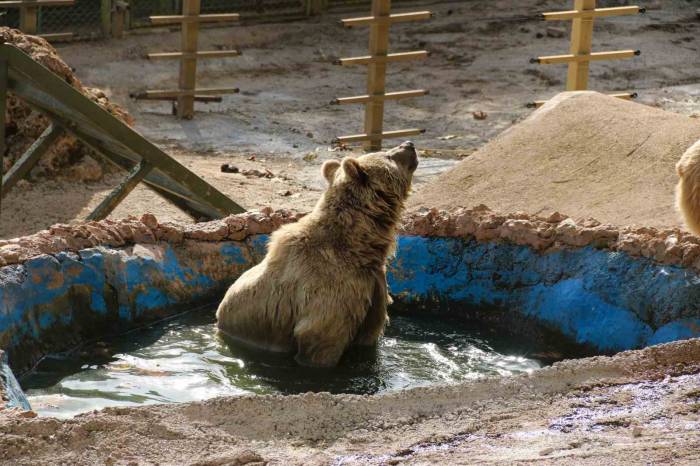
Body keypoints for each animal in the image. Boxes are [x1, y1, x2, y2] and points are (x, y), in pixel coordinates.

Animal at [216, 140, 418, 366]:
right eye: (388, 155)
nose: (409, 144)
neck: (357, 247)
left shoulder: (372, 288)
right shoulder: (329, 292)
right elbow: (321, 339)